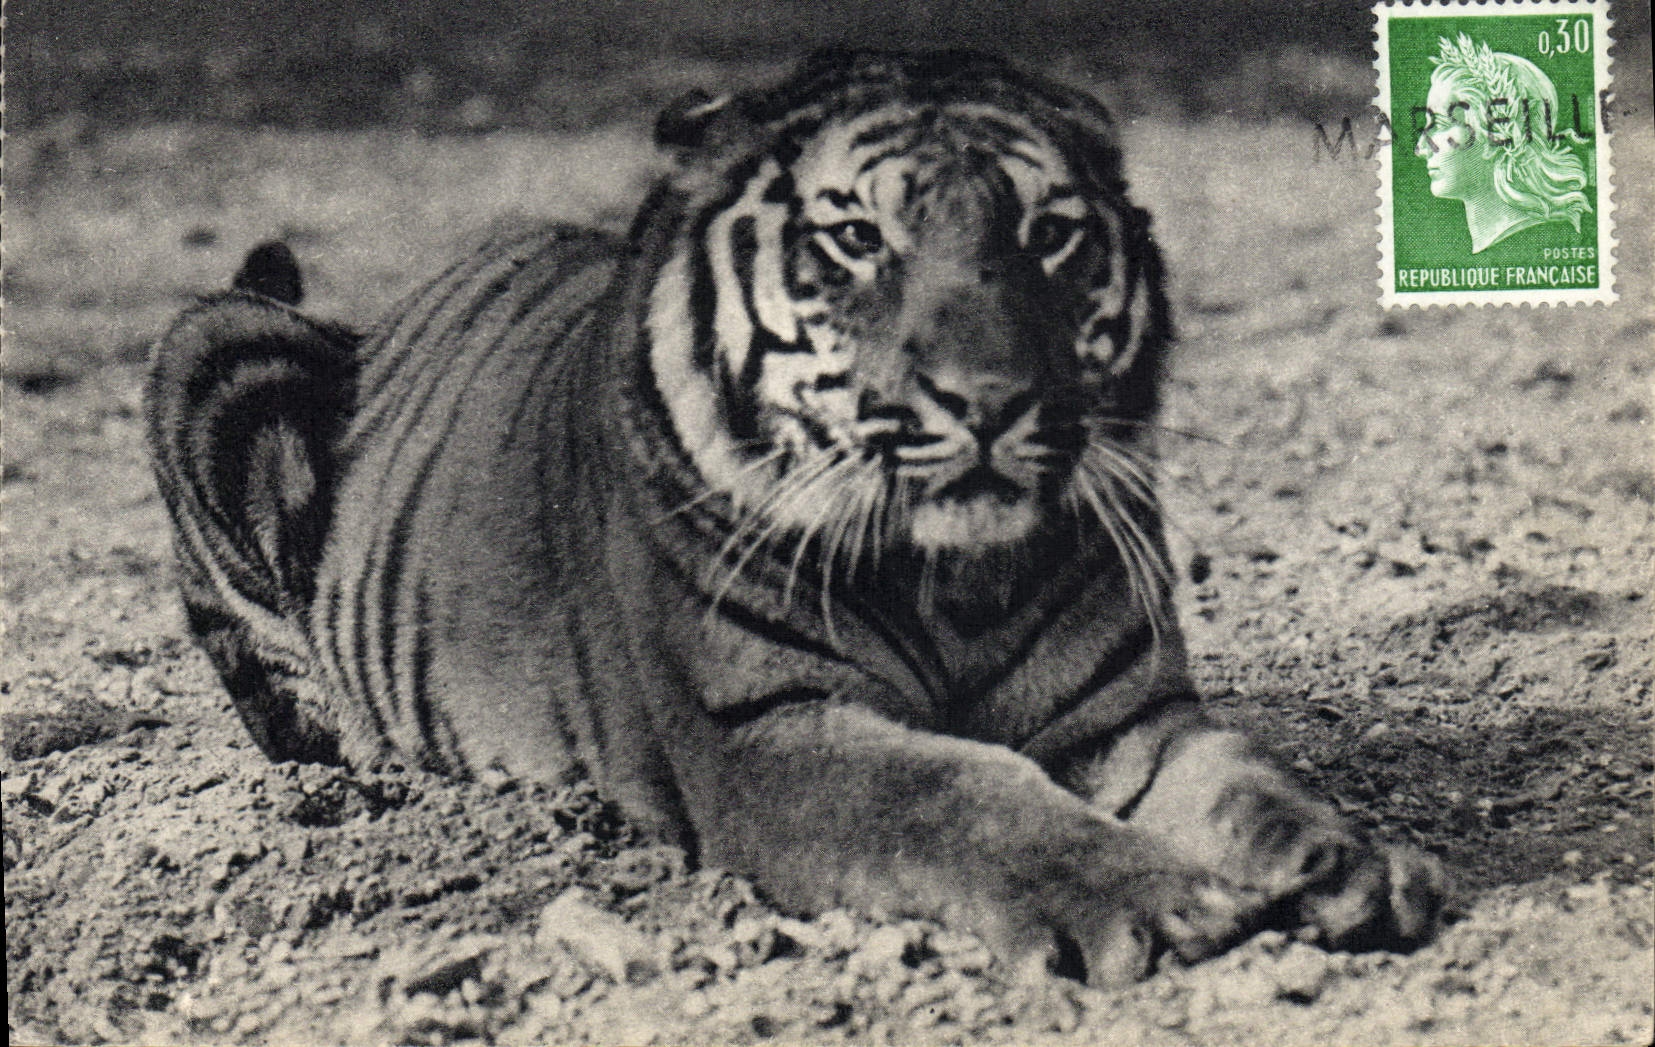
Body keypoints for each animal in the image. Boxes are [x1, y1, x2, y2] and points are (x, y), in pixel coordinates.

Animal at [146, 50, 1446, 986]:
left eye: (1048, 234)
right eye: (858, 239)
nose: (988, 400)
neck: (954, 578)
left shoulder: (1125, 717)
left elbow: (1249, 781)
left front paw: (1353, 865)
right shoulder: (766, 735)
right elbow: (962, 796)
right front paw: (1153, 902)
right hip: (212, 346)